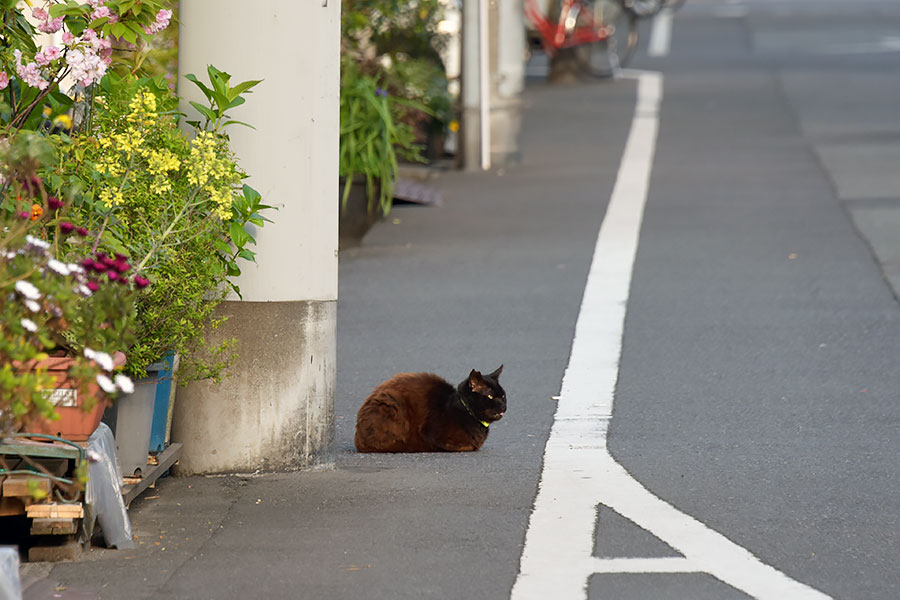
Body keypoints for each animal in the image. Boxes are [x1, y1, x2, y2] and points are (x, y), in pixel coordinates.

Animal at [352, 364, 506, 452]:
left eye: (503, 396)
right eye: (490, 396)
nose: (504, 406)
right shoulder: (432, 432)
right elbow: (468, 446)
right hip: (392, 404)